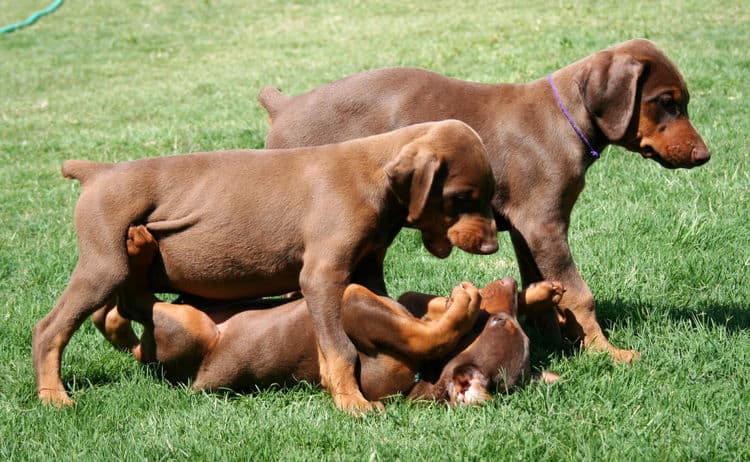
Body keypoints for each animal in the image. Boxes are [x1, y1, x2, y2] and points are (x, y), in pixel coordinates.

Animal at [32, 120, 500, 416]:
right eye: (462, 197)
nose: (494, 245)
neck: (374, 175)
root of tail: (98, 172)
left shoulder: (366, 269)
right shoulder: (322, 276)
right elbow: (339, 347)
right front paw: (351, 402)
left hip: (116, 268)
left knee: (111, 312)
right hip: (103, 266)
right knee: (52, 329)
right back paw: (53, 396)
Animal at [95, 226, 564, 402]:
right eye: (503, 321)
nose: (508, 282)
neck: (422, 375)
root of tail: (149, 361)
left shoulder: (355, 302)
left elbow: (420, 333)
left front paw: (465, 304)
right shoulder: (395, 298)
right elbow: (423, 309)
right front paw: (537, 293)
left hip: (187, 329)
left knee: (137, 301)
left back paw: (137, 248)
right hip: (197, 301)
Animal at [258, 38, 712, 362]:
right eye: (666, 102)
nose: (705, 155)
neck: (566, 120)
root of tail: (283, 107)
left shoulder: (530, 232)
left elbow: (542, 287)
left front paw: (553, 340)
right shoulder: (545, 226)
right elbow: (578, 293)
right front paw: (606, 351)